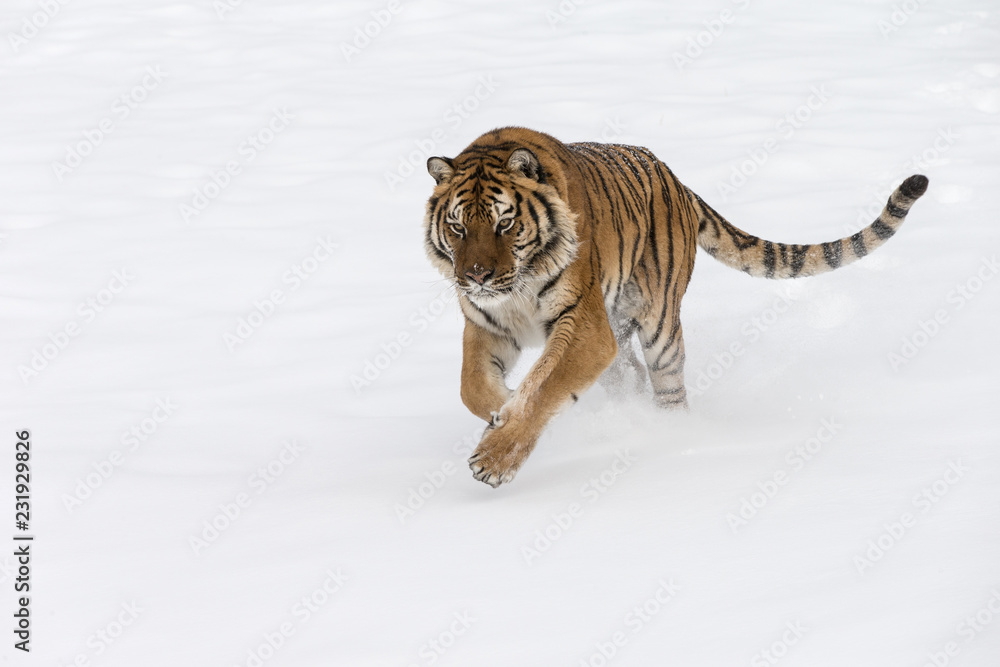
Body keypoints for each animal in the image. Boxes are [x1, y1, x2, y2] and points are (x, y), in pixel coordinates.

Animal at [423, 126, 928, 488]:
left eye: (504, 224)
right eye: (458, 227)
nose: (476, 276)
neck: (516, 289)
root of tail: (677, 180)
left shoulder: (584, 325)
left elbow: (542, 389)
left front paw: (496, 455)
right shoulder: (488, 325)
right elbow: (472, 386)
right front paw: (500, 411)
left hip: (659, 324)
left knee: (670, 389)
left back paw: (672, 439)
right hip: (619, 334)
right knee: (629, 376)